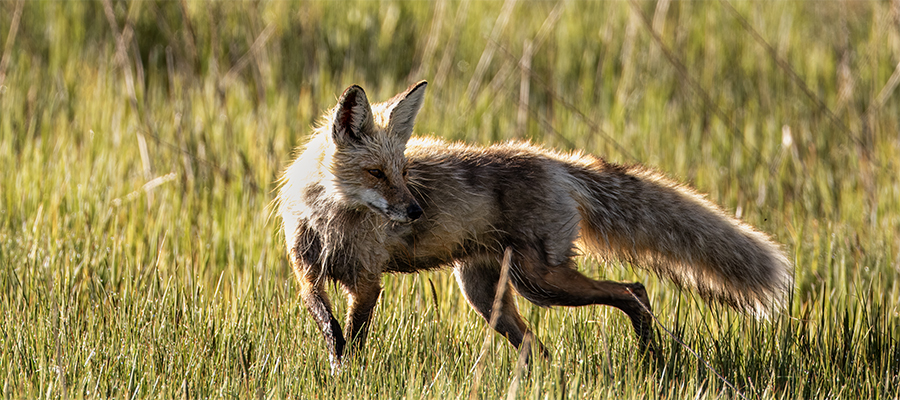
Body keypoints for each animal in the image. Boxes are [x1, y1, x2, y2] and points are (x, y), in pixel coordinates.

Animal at [276, 81, 792, 371]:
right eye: (376, 174)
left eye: (402, 172)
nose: (415, 211)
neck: (329, 221)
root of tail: (555, 161)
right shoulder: (307, 273)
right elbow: (328, 326)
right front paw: (336, 364)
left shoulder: (367, 281)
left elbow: (355, 339)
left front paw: (349, 377)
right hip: (490, 298)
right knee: (541, 353)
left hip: (540, 282)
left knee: (634, 291)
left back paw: (653, 359)